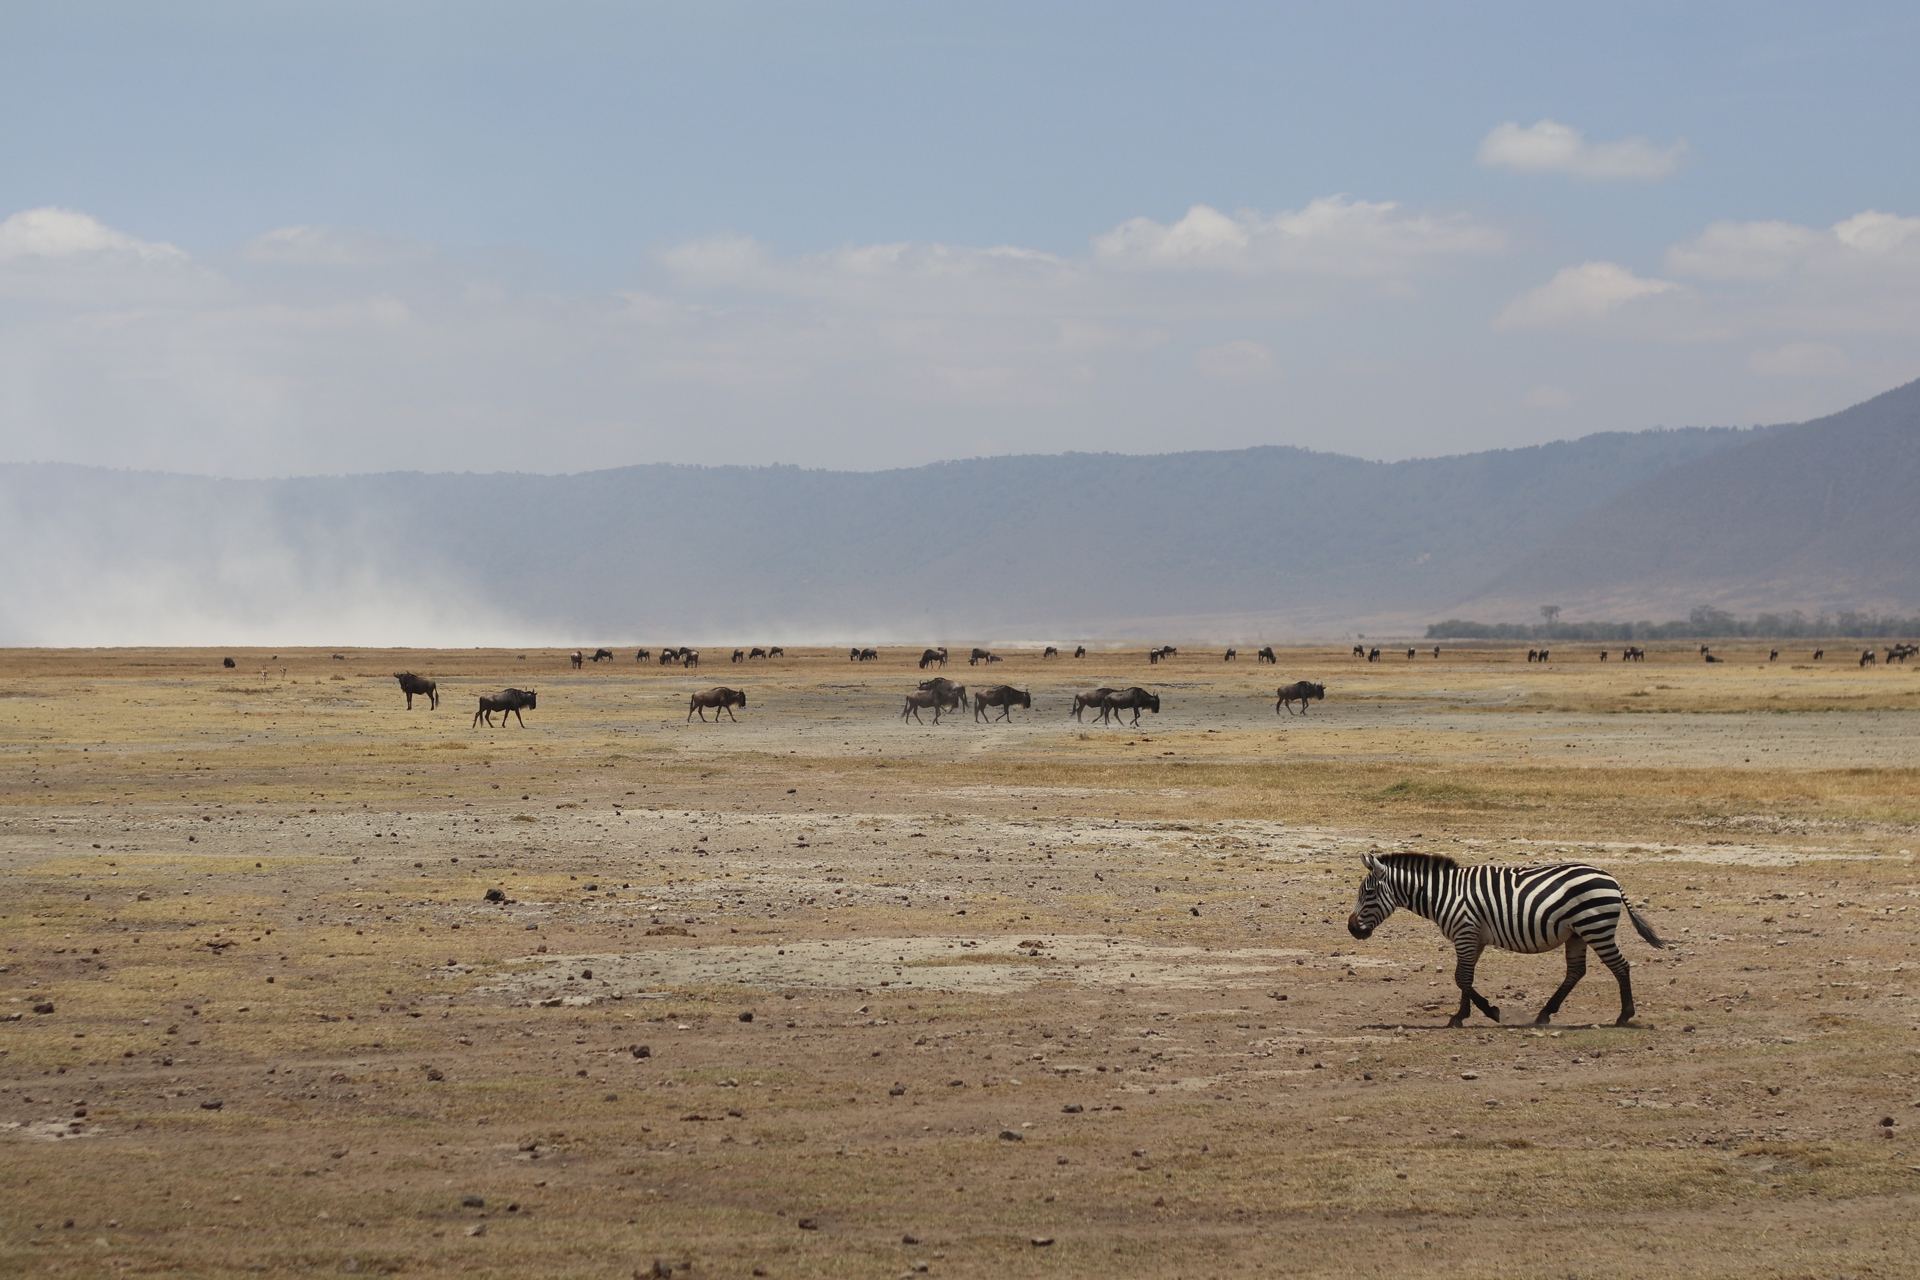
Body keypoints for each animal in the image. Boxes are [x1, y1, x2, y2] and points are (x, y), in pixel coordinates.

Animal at [1345, 852, 1665, 1027]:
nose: (1351, 928)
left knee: (1620, 967)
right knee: (1575, 971)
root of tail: (1612, 879)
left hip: (1595, 927)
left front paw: (1487, 1012)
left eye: (1368, 893)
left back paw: (1624, 1016)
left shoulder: (1465, 932)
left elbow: (1462, 978)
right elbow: (1464, 977)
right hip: (1577, 933)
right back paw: (1544, 1013)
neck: (1443, 894)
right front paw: (1462, 1014)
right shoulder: (1473, 937)